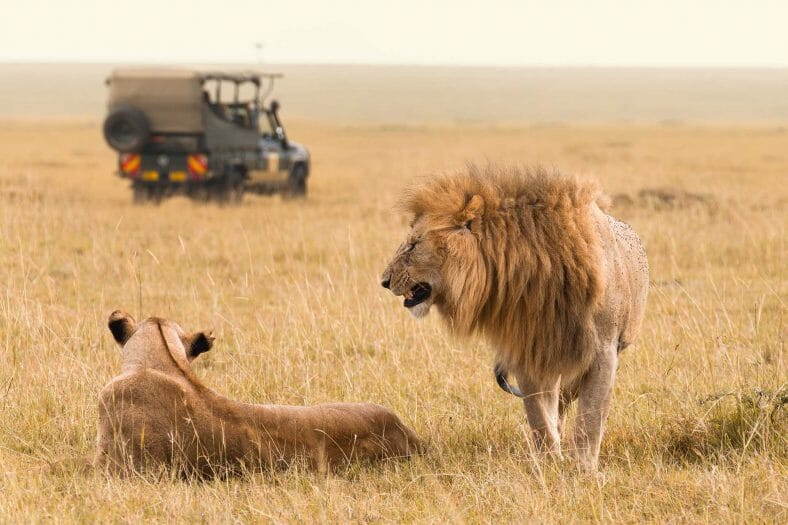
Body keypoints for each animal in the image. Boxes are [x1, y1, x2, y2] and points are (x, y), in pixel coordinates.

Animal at [382, 166, 648, 468]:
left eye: (414, 245)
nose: (384, 281)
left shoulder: (603, 351)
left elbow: (590, 417)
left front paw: (583, 468)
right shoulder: (528, 351)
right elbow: (539, 415)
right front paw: (549, 462)